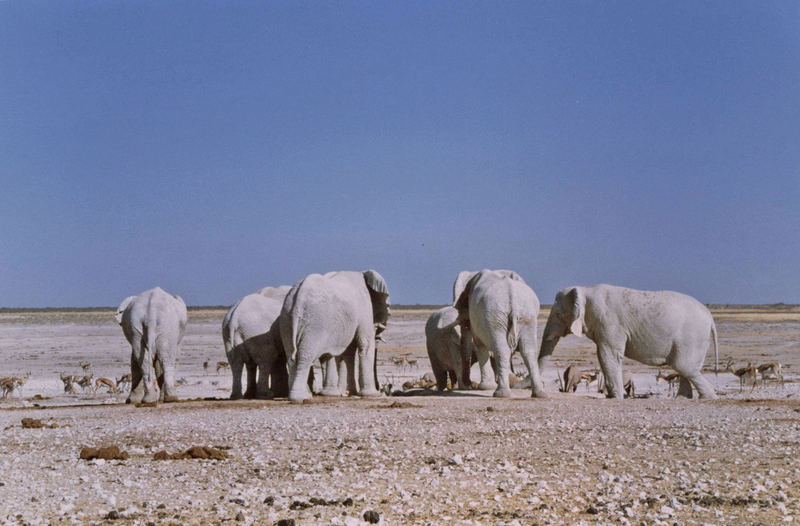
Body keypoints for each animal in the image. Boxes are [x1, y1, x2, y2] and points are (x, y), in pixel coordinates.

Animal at [280, 270, 390, 402]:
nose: (380, 390)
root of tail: (299, 296)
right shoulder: (364, 307)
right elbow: (365, 344)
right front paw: (372, 395)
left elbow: (347, 351)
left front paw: (349, 393)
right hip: (315, 322)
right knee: (305, 356)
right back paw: (299, 397)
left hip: (286, 318)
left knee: (290, 356)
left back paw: (302, 395)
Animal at [454, 270, 548, 398]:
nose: (469, 385)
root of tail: (512, 296)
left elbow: (479, 345)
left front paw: (485, 387)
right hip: (526, 316)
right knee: (529, 351)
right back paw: (539, 394)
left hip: (495, 315)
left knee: (501, 350)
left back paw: (501, 394)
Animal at [536, 284, 720, 400]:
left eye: (559, 314)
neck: (585, 289)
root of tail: (710, 317)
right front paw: (613, 396)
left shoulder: (609, 324)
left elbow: (607, 355)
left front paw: (615, 398)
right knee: (687, 369)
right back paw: (683, 399)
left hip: (692, 337)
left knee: (684, 366)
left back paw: (708, 397)